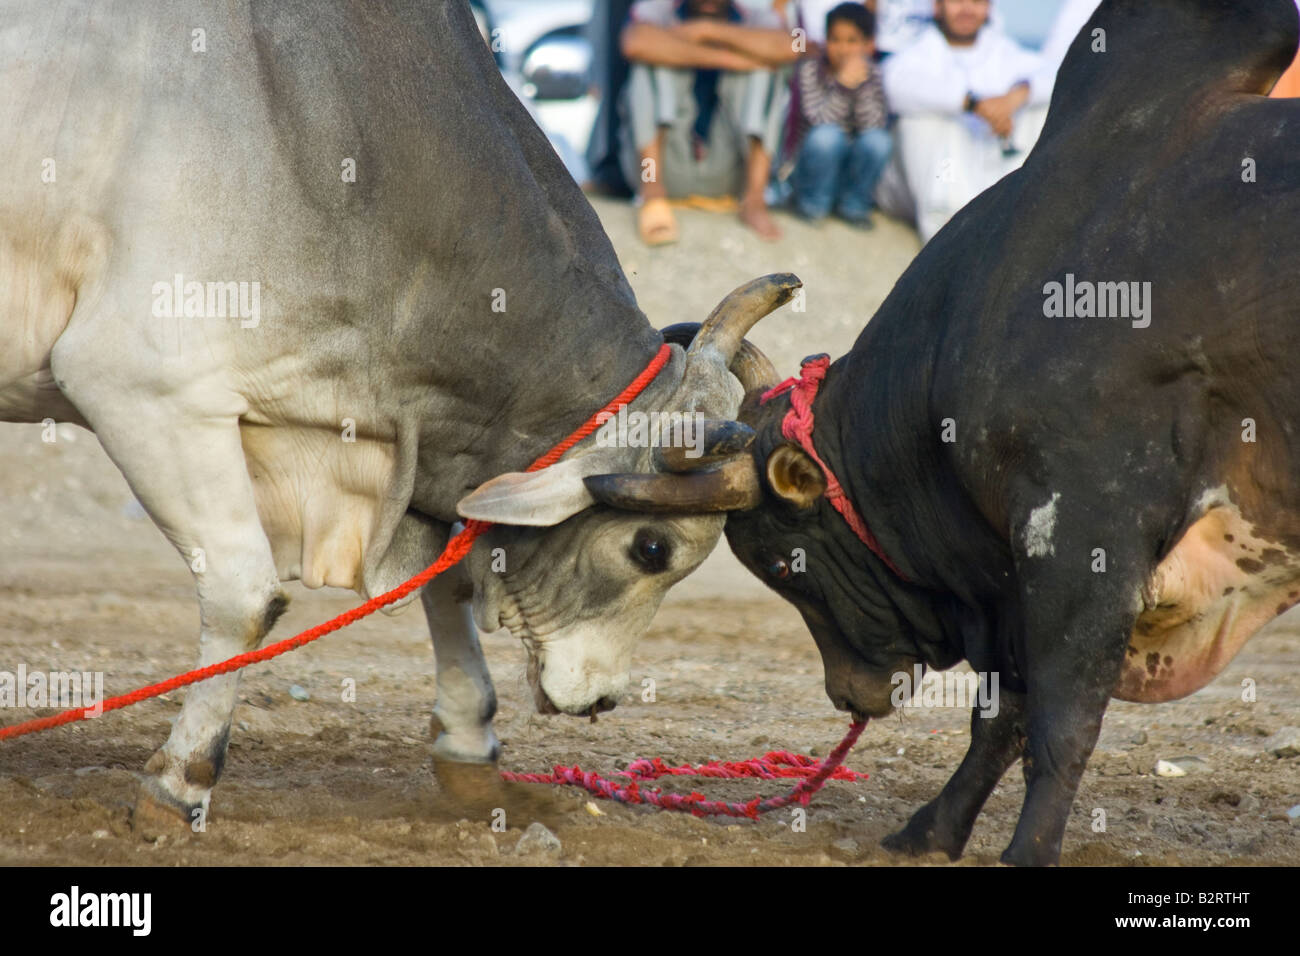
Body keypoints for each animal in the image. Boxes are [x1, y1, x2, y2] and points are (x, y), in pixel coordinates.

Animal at [598, 0, 1300, 868]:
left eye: (785, 564)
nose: (847, 694)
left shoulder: (1080, 538)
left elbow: (1058, 722)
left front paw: (1025, 851)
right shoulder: (1018, 585)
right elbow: (1000, 718)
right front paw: (931, 829)